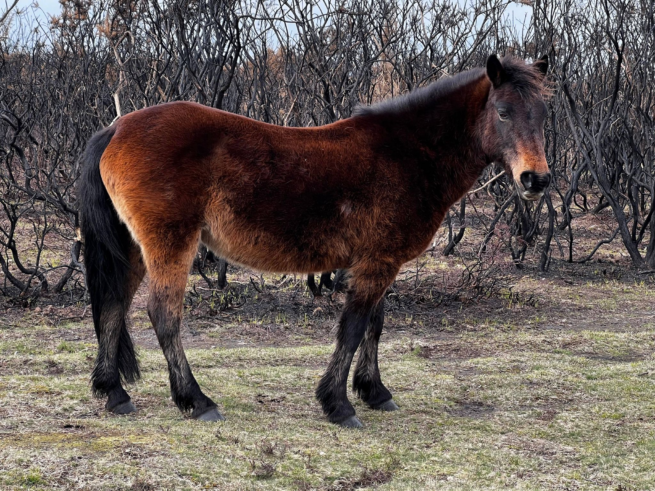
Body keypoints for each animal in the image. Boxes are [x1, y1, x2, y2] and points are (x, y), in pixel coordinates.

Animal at [79, 55, 552, 428]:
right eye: (504, 112)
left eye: (544, 114)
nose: (536, 180)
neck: (408, 153)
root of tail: (117, 127)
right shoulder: (377, 264)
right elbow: (354, 327)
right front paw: (338, 405)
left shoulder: (380, 261)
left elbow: (375, 326)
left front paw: (374, 391)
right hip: (170, 245)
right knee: (163, 314)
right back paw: (196, 401)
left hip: (135, 249)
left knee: (113, 305)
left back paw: (114, 394)